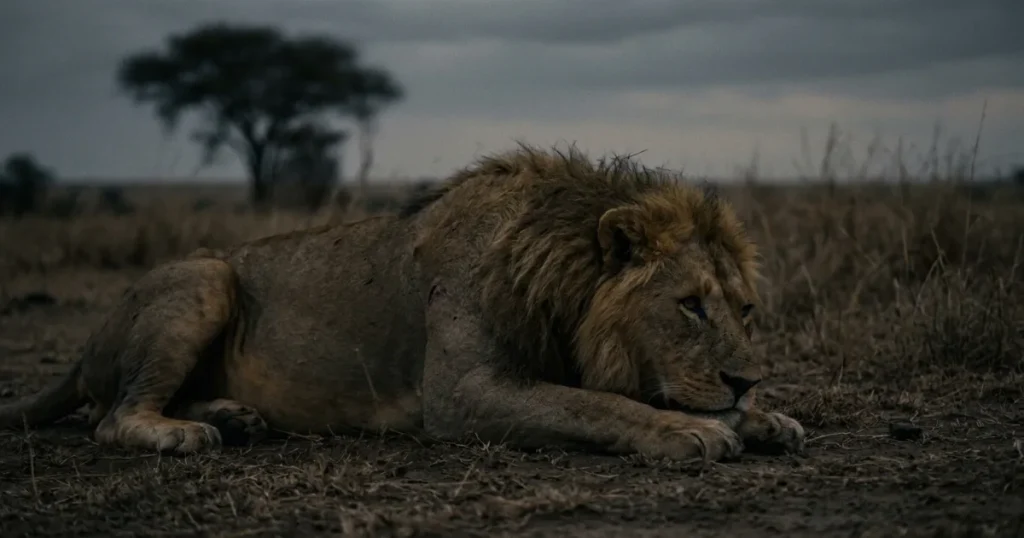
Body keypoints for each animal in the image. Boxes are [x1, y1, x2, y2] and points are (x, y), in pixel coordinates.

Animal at [0, 145, 804, 462]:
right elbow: (595, 404)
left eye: (745, 310)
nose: (747, 381)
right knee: (112, 418)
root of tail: (83, 347)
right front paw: (694, 430)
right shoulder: (460, 394)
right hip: (206, 277)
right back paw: (188, 431)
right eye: (690, 305)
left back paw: (236, 416)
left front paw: (766, 417)